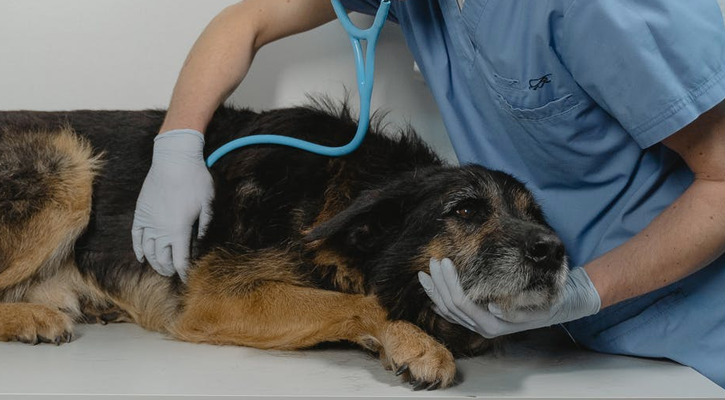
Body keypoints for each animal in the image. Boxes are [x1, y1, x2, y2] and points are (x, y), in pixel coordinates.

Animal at [0, 101, 564, 390]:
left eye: (535, 215)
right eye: (465, 210)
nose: (554, 251)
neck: (342, 193)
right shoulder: (217, 298)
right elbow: (365, 301)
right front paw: (417, 343)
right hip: (68, 163)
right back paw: (33, 317)